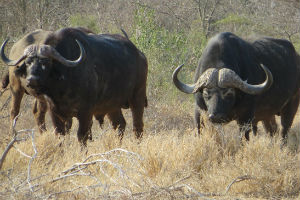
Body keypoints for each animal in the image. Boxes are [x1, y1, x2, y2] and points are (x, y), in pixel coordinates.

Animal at [0, 27, 148, 145]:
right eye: (28, 62)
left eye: (46, 62)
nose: (32, 80)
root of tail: (140, 55)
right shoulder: (54, 111)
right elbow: (60, 135)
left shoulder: (85, 111)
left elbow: (82, 136)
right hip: (112, 105)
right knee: (119, 125)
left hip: (138, 97)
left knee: (137, 126)